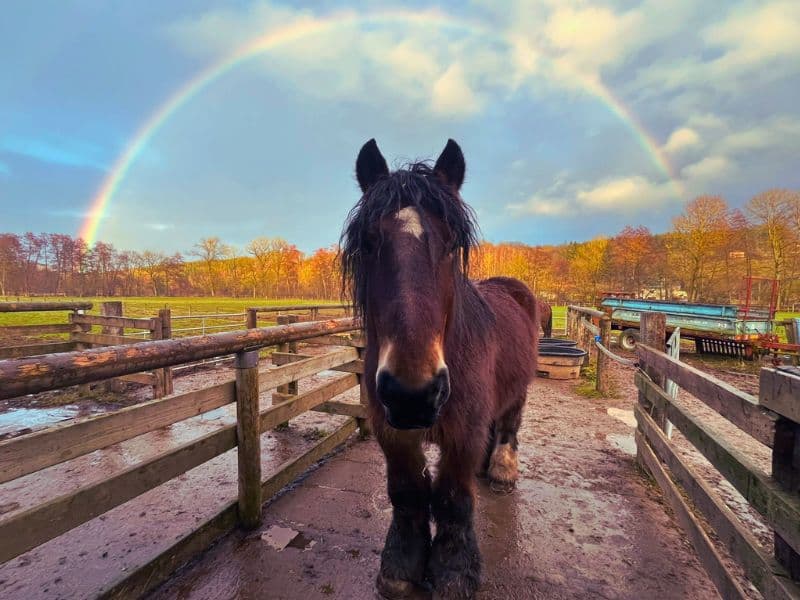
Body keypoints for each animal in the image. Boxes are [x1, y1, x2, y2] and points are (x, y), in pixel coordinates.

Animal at [341, 139, 539, 599]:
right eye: (369, 244)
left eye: (451, 246)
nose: (412, 395)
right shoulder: (392, 432)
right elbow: (407, 492)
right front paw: (401, 566)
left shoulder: (462, 434)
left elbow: (452, 499)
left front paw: (454, 572)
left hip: (518, 390)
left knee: (509, 424)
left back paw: (501, 470)